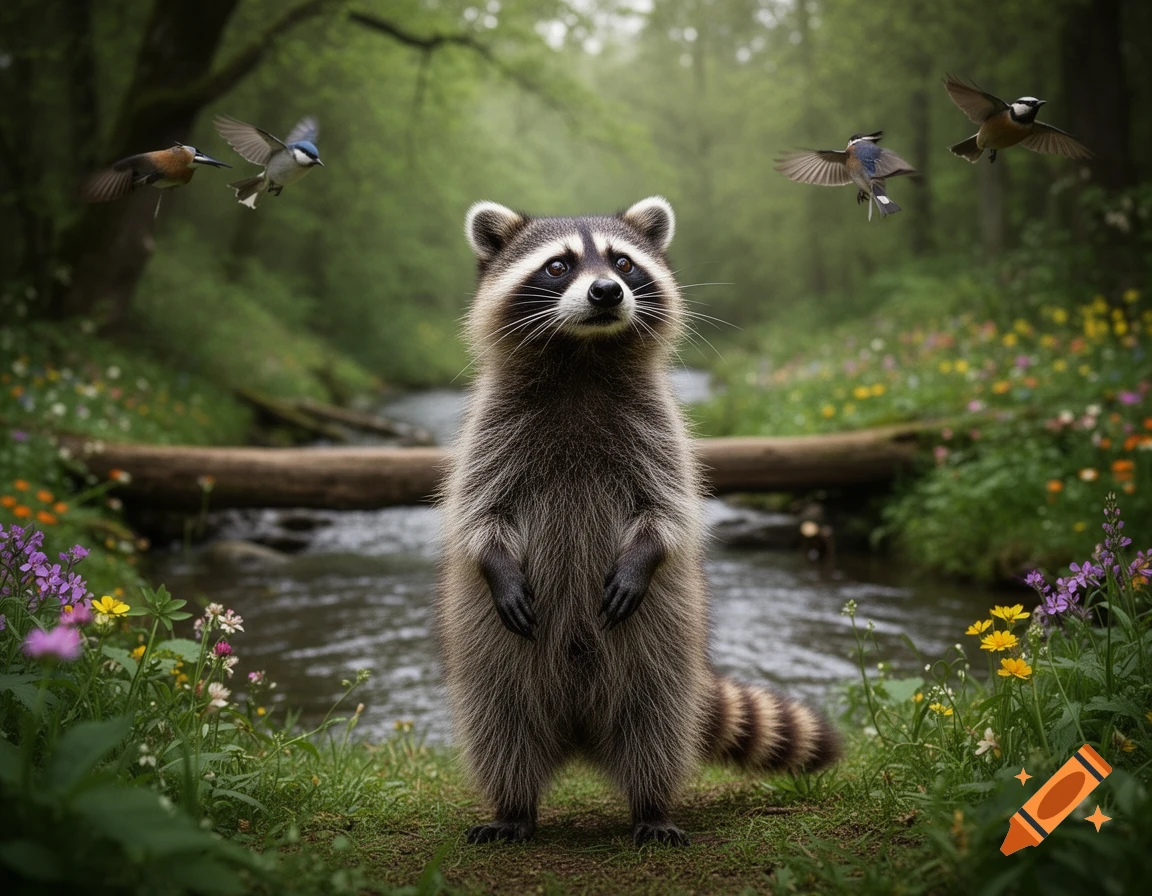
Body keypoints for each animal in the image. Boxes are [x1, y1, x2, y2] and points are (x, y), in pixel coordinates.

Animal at [436, 197, 839, 847]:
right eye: (558, 266)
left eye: (623, 262)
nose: (606, 291)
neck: (582, 354)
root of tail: (578, 730)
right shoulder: (489, 432)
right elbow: (478, 511)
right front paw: (497, 564)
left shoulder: (660, 428)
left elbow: (668, 509)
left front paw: (642, 557)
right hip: (491, 652)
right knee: (502, 725)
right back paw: (513, 806)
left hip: (661, 647)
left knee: (655, 726)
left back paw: (651, 805)